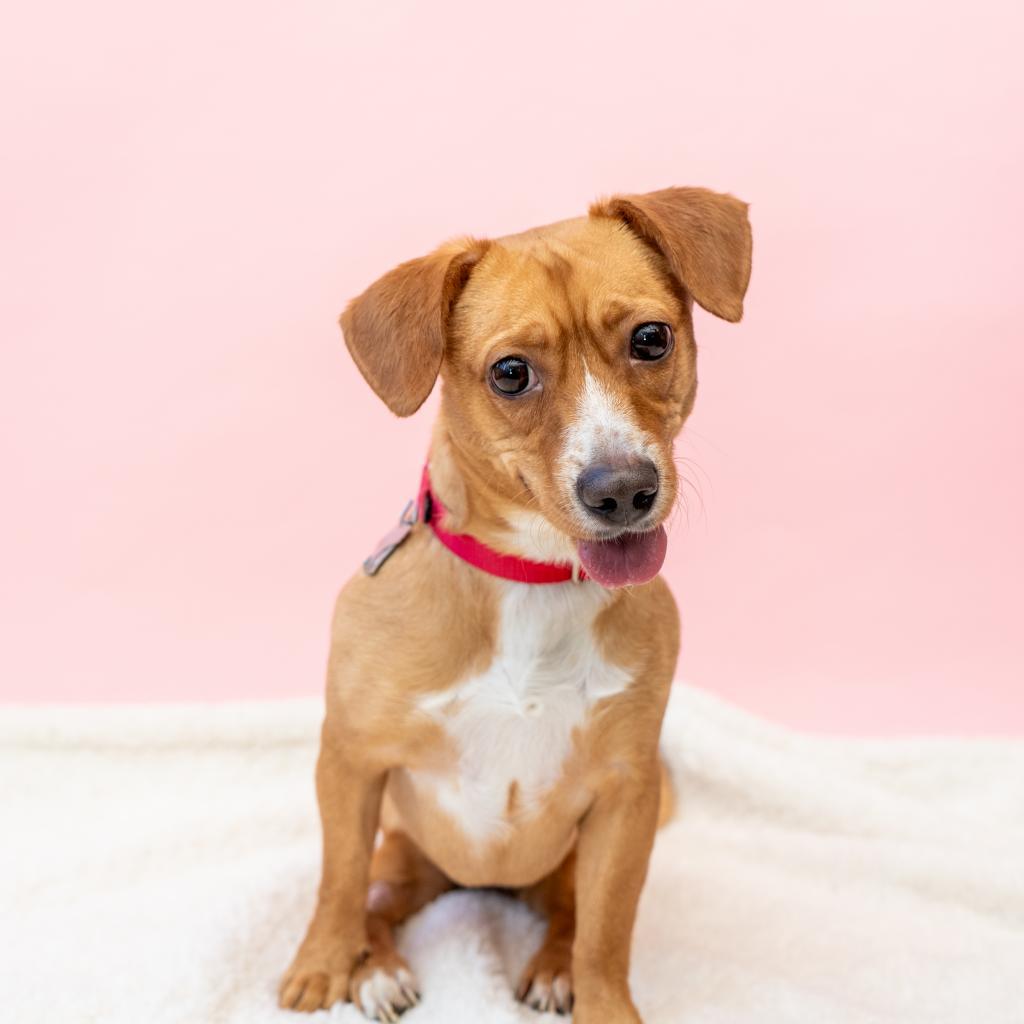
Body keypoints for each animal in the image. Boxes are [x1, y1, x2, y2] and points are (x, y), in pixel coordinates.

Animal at [280, 188, 753, 1019]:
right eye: (510, 373)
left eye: (651, 338)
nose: (623, 489)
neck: (533, 579)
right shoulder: (351, 761)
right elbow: (336, 880)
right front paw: (324, 964)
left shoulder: (625, 796)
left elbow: (607, 933)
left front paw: (602, 1001)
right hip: (403, 852)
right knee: (373, 897)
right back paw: (375, 967)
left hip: (570, 861)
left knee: (572, 915)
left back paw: (555, 963)